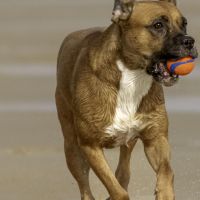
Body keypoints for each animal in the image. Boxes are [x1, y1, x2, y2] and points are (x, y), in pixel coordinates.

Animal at [55, 0, 198, 199]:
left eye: (184, 23)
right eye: (158, 25)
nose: (189, 41)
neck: (133, 76)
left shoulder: (156, 139)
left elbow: (167, 171)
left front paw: (164, 192)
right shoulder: (90, 146)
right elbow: (115, 188)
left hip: (128, 141)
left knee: (123, 171)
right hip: (72, 148)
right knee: (85, 186)